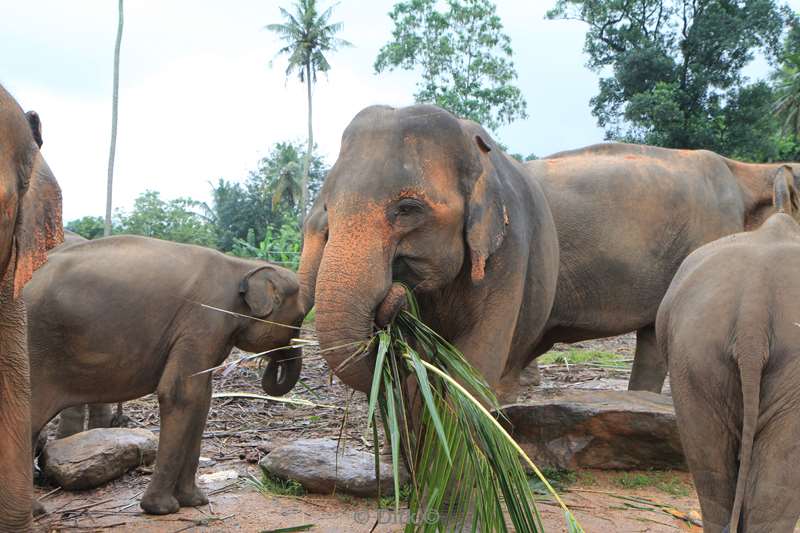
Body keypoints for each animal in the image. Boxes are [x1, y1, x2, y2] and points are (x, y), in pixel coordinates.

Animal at [26, 235, 304, 512]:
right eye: (300, 319)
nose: (273, 362)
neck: (242, 265)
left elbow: (201, 400)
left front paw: (195, 501)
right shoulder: (205, 320)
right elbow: (180, 394)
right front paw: (162, 508)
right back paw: (35, 510)